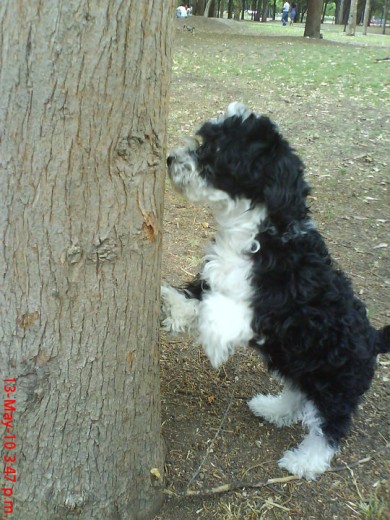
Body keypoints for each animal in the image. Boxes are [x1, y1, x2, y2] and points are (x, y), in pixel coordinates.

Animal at [160, 102, 388, 480]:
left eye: (216, 150)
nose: (170, 159)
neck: (257, 233)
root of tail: (373, 339)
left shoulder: (274, 310)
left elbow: (222, 311)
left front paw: (214, 343)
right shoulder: (216, 272)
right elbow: (200, 295)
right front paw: (176, 306)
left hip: (333, 386)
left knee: (330, 426)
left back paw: (304, 461)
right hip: (298, 363)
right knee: (297, 394)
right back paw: (273, 409)